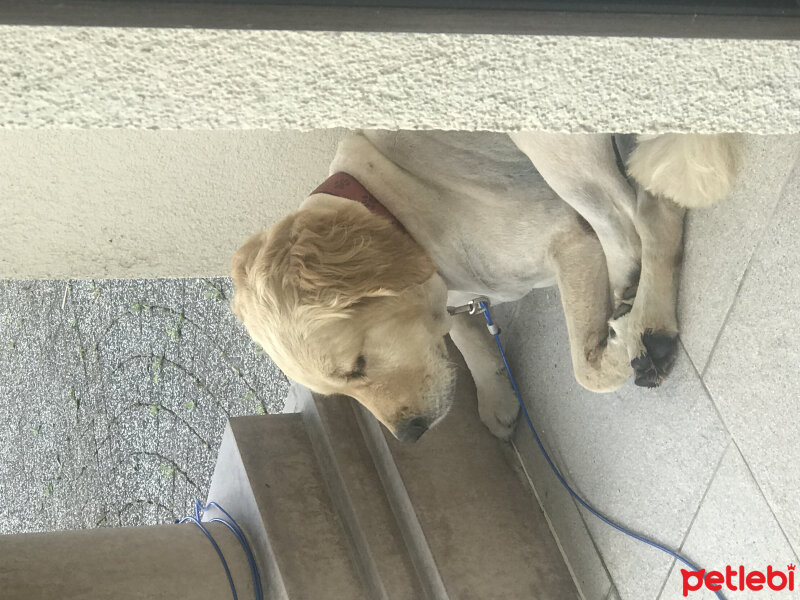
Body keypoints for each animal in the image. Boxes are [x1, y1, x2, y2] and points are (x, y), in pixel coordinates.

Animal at [231, 131, 736, 440]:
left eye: (357, 366)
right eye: (340, 393)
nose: (410, 435)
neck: (390, 212)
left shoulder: (568, 239)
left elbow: (583, 370)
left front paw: (610, 354)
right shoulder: (455, 301)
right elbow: (472, 343)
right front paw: (496, 397)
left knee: (638, 221)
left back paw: (644, 323)